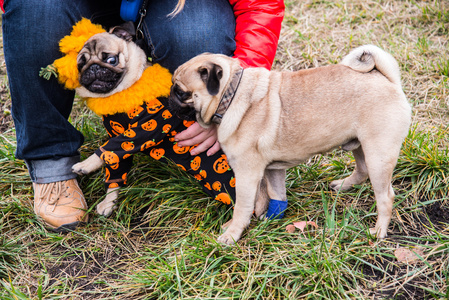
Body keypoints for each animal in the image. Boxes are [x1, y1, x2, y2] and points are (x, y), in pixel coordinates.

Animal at [170, 45, 412, 246]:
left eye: (181, 92)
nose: (168, 96)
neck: (232, 95)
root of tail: (387, 79)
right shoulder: (271, 170)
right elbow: (273, 194)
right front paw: (267, 217)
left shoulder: (246, 173)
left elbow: (243, 206)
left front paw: (232, 233)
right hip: (359, 146)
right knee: (362, 171)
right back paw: (343, 185)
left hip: (378, 154)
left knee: (385, 196)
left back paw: (378, 232)